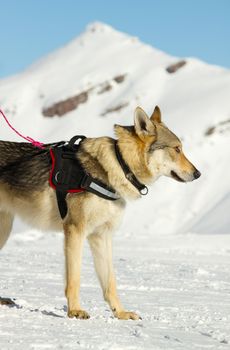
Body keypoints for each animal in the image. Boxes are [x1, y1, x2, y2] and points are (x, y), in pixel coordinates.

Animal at [0, 106, 200, 320]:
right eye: (177, 149)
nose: (198, 174)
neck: (120, 165)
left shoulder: (101, 235)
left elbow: (110, 282)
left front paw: (121, 313)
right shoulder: (75, 230)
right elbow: (74, 279)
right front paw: (75, 311)